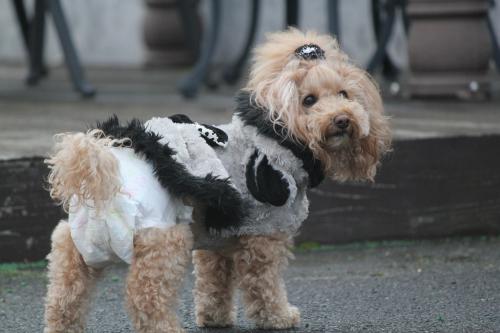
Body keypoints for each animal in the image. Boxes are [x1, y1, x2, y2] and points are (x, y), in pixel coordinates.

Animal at [43, 29, 390, 332]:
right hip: (163, 242)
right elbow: (264, 283)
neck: (278, 136)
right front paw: (278, 317)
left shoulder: (218, 239)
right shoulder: (263, 235)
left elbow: (214, 282)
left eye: (344, 94)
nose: (342, 119)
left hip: (75, 246)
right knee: (146, 298)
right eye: (308, 100)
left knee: (64, 298)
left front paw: (214, 318)